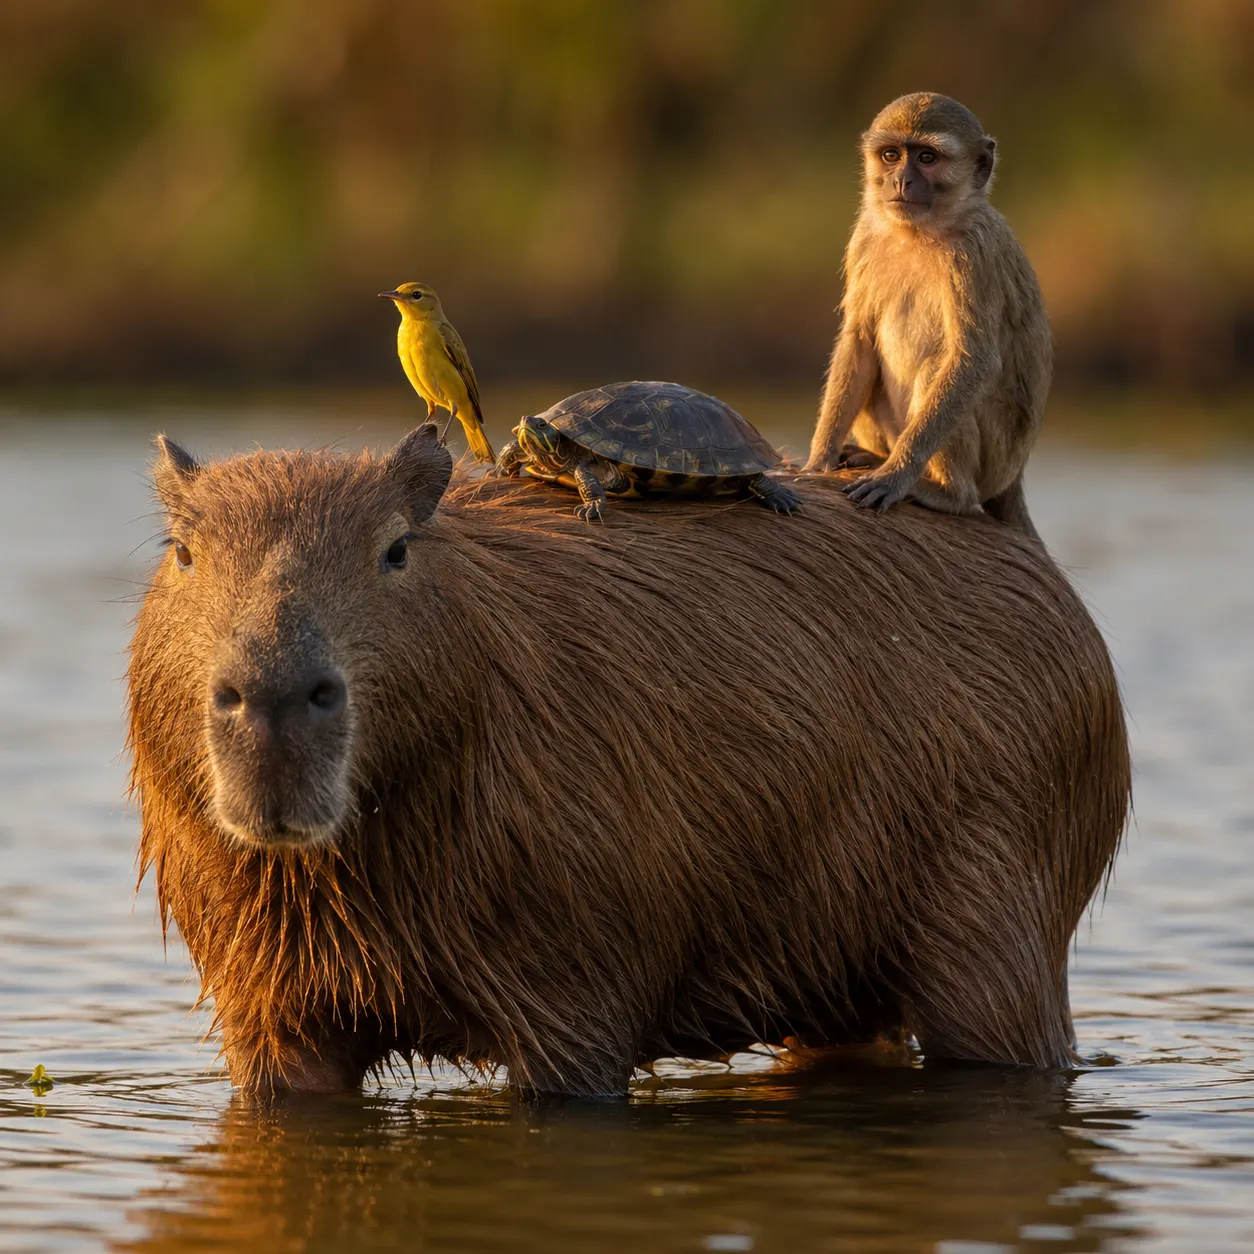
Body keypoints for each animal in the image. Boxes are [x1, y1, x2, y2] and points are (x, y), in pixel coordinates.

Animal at [805, 92, 1051, 540]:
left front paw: (897, 474)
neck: (918, 233)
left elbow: (974, 361)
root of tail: (1013, 478)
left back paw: (948, 492)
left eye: (927, 157)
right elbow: (859, 342)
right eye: (891, 155)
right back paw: (873, 456)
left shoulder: (974, 252)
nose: (901, 181)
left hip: (996, 457)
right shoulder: (865, 236)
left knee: (938, 367)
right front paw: (820, 458)